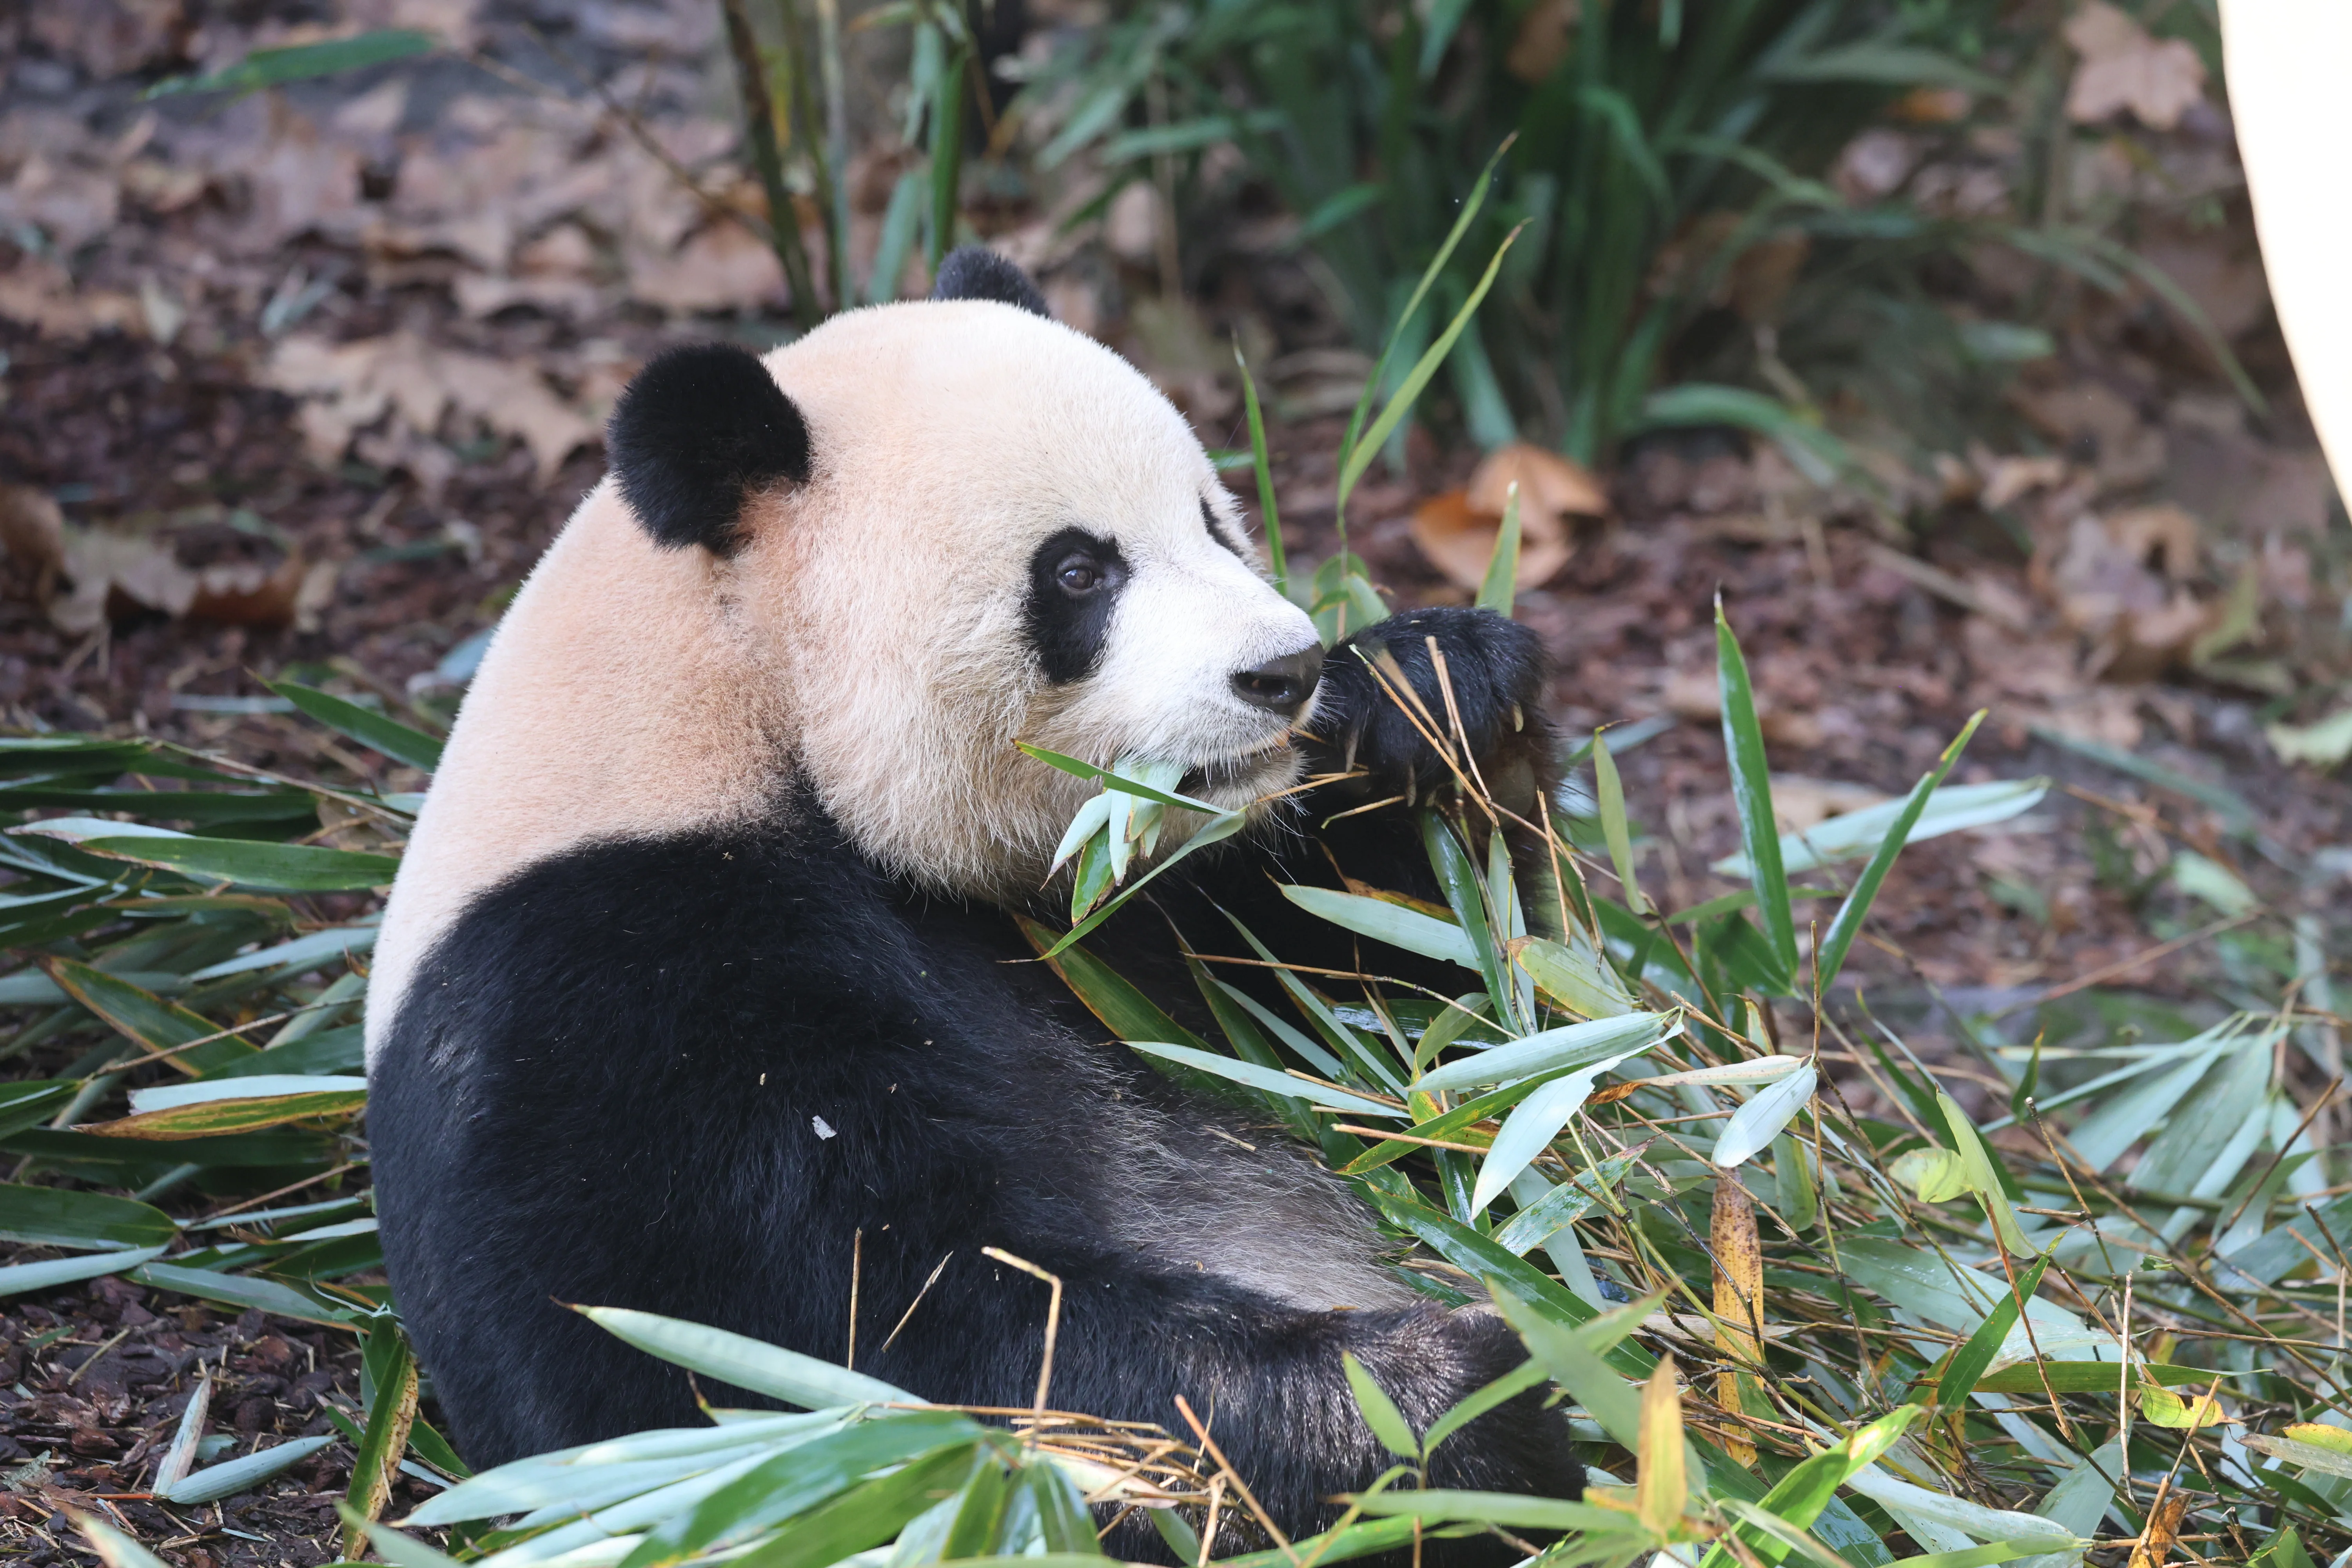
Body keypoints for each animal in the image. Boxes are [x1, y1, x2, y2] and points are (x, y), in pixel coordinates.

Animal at [366, 247, 1583, 1557]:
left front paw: (1434, 692)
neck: (731, 709)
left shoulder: (1103, 913)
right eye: (1077, 572)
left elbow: (1404, 1004)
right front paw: (1444, 1404)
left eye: (1213, 520)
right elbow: (856, 1348)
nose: (1283, 670)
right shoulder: (609, 1002)